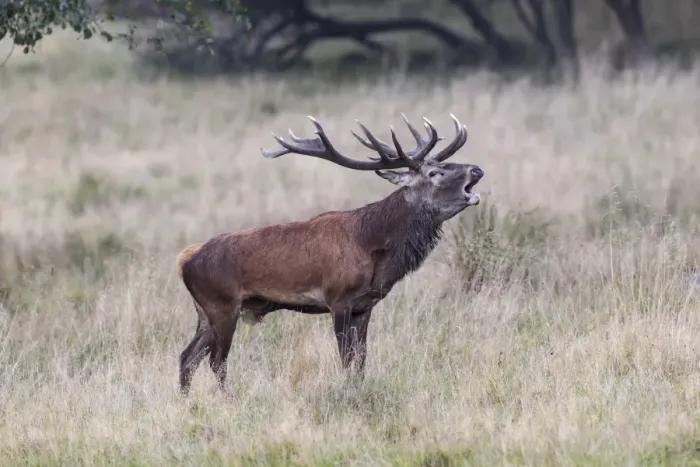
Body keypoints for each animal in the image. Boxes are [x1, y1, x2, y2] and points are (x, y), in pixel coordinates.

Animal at [175, 113, 484, 395]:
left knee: (187, 357)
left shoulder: (365, 306)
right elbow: (346, 359)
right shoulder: (339, 299)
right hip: (222, 304)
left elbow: (361, 361)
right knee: (216, 361)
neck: (373, 247)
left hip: (205, 311)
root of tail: (183, 260)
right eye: (435, 173)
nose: (477, 170)